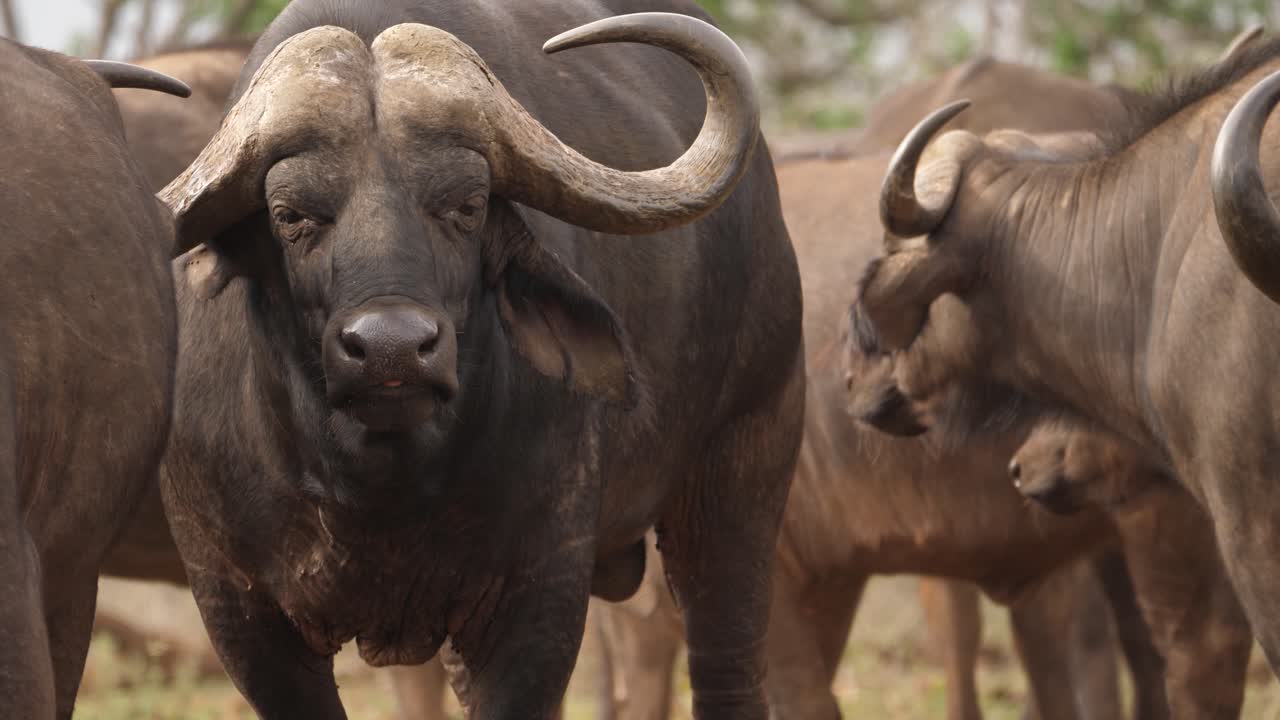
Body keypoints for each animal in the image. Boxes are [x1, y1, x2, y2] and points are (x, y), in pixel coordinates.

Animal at [154, 2, 803, 718]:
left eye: (466, 206)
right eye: (289, 214)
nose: (392, 348)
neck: (374, 488)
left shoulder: (541, 590)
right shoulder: (237, 606)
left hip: (747, 461)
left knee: (727, 659)